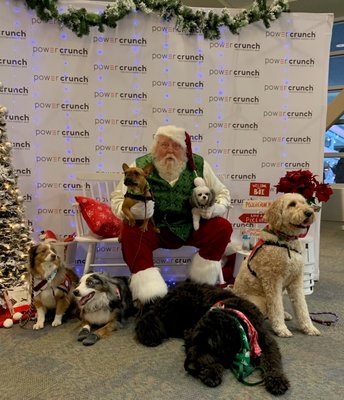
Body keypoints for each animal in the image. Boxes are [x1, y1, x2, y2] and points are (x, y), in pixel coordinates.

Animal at [135, 282, 290, 396]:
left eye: (210, 345)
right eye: (193, 343)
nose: (190, 368)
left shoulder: (266, 343)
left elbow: (272, 361)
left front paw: (277, 379)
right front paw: (212, 371)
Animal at [232, 194, 322, 338]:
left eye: (304, 203)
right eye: (292, 204)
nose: (309, 212)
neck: (286, 242)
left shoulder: (296, 280)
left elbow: (302, 306)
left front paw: (309, 327)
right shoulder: (272, 281)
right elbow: (276, 306)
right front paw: (281, 328)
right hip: (259, 302)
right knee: (264, 311)